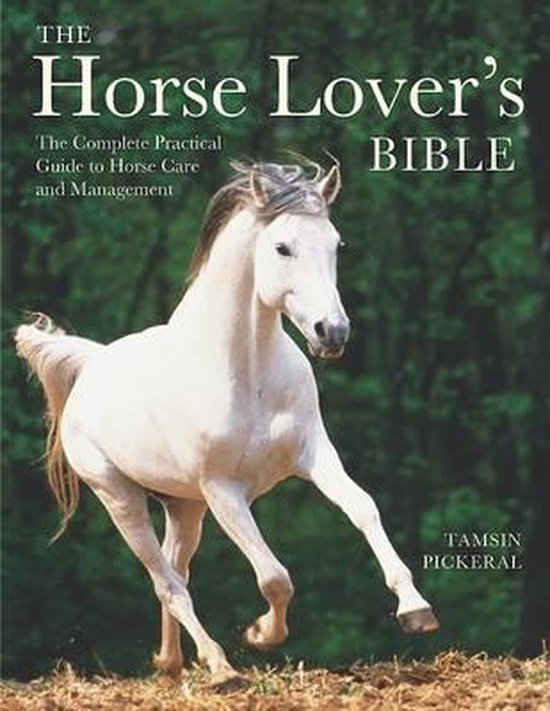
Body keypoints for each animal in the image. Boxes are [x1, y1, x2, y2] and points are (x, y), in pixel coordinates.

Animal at [15, 160, 439, 686]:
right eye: (282, 247)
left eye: (337, 244)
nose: (332, 333)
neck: (246, 370)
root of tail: (92, 365)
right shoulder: (224, 491)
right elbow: (275, 577)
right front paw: (260, 635)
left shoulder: (315, 455)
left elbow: (364, 508)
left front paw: (415, 609)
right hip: (122, 498)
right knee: (167, 582)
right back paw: (219, 666)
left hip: (184, 507)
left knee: (176, 570)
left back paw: (173, 662)